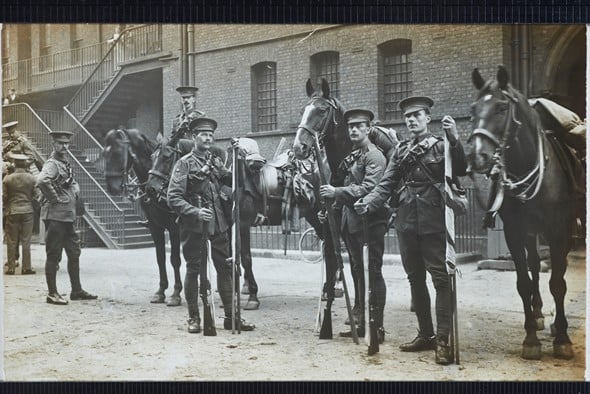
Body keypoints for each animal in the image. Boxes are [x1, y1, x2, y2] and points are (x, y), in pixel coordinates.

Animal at [103, 127, 183, 306]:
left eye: (117, 153)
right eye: (104, 154)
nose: (111, 188)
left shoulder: (174, 228)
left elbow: (175, 259)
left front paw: (176, 293)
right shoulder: (155, 227)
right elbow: (160, 258)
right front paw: (160, 291)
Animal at [470, 65, 580, 360]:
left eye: (500, 108)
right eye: (473, 109)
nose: (477, 156)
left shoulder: (558, 231)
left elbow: (558, 282)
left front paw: (562, 338)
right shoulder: (515, 233)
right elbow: (523, 281)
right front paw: (531, 338)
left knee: (557, 270)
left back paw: (554, 322)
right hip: (532, 234)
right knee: (533, 266)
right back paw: (539, 312)